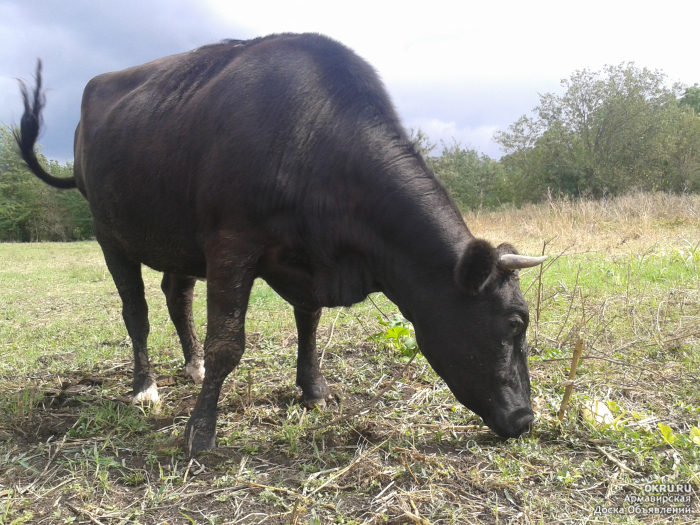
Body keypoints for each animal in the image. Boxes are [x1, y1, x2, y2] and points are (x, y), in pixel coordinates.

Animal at [13, 32, 544, 454]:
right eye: (514, 323)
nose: (525, 419)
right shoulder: (231, 246)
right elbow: (227, 343)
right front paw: (200, 432)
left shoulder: (304, 261)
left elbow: (309, 322)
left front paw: (314, 390)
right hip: (110, 233)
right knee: (136, 311)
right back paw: (145, 388)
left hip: (178, 240)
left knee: (176, 297)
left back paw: (192, 366)